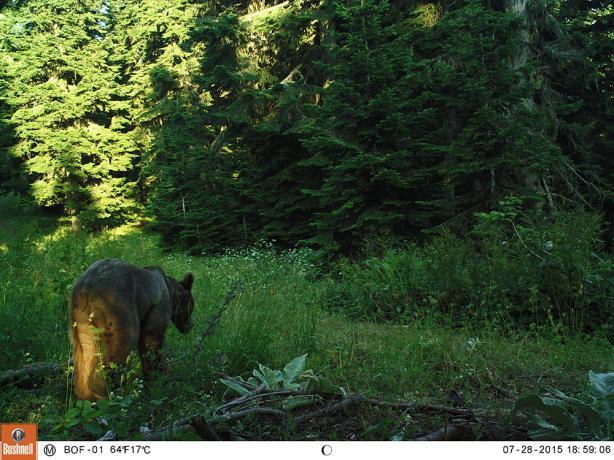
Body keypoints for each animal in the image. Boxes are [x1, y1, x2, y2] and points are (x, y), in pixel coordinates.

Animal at [70, 258, 196, 402]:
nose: (190, 326)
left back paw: (85, 395)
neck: (170, 293)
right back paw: (106, 394)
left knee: (85, 351)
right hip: (118, 308)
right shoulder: (156, 308)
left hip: (80, 319)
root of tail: (86, 288)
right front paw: (157, 379)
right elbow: (151, 343)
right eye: (192, 305)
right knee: (117, 349)